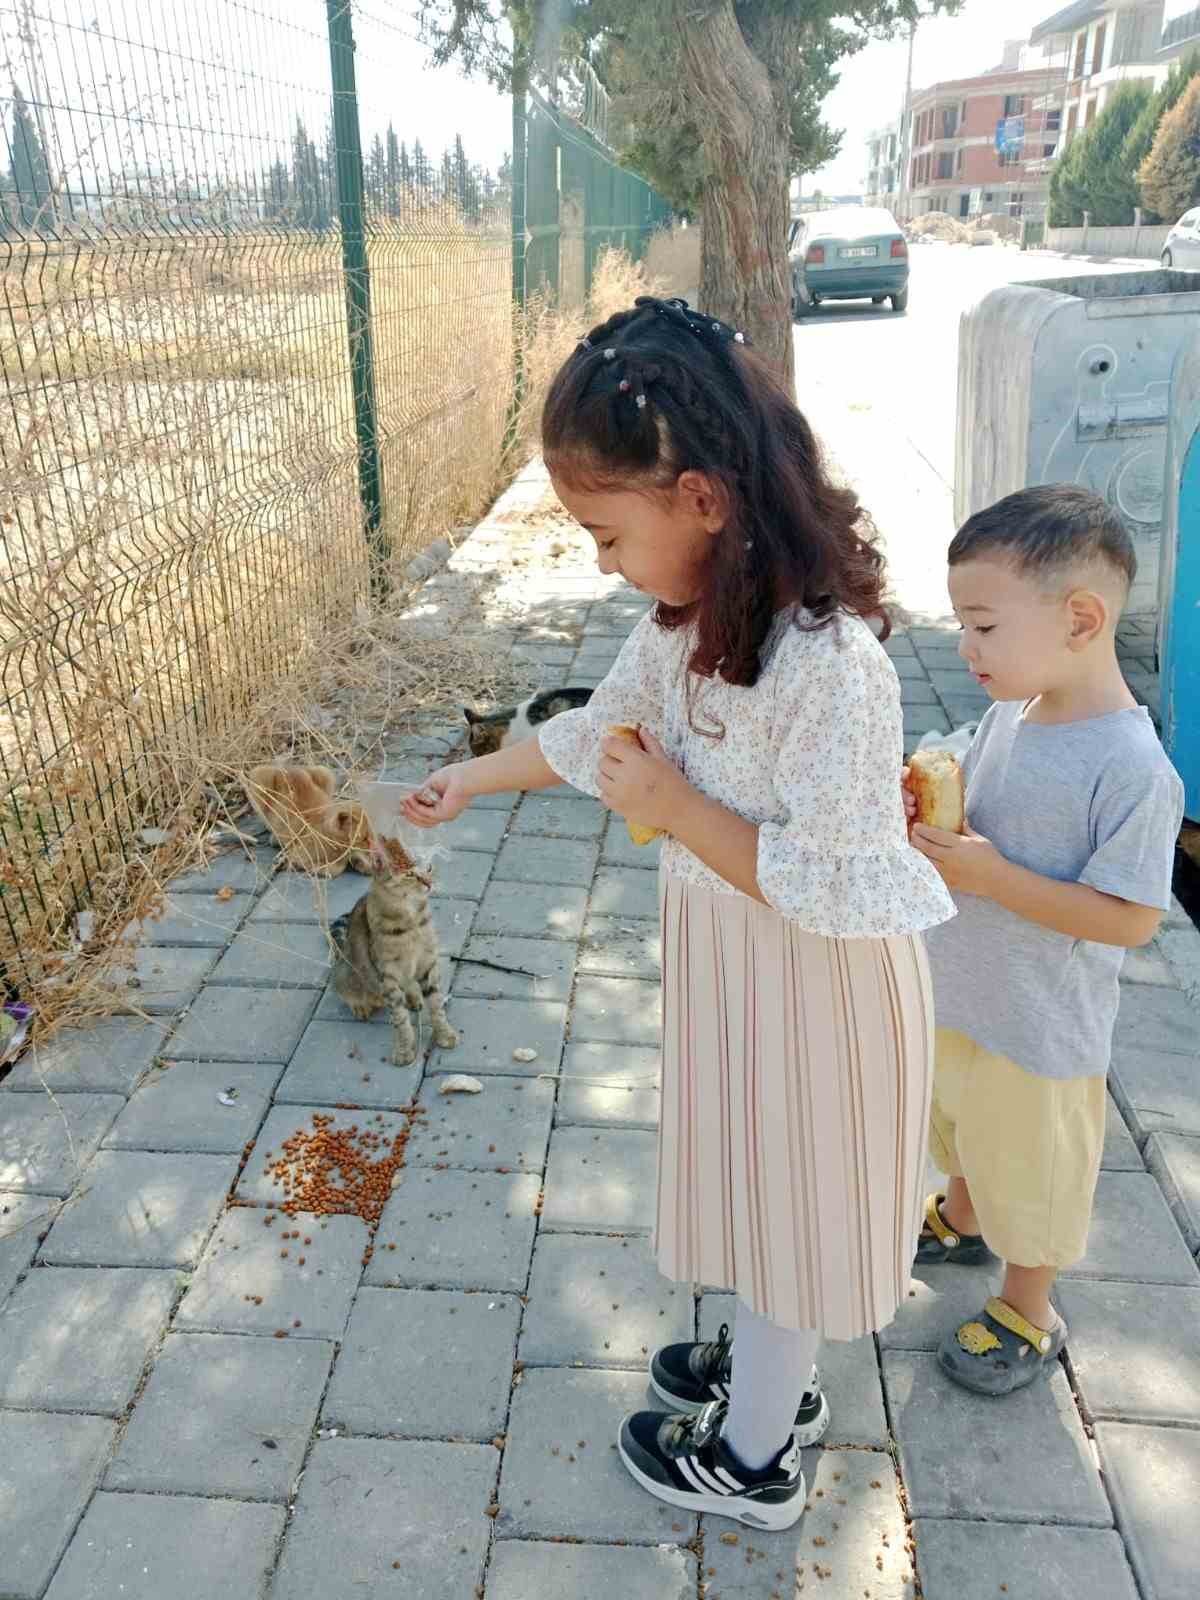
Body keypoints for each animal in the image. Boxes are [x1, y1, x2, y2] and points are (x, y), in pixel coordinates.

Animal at [329, 838, 460, 1062]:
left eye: (429, 867)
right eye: (409, 874)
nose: (429, 883)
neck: (412, 922)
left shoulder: (427, 963)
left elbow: (436, 1004)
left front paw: (444, 1034)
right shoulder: (387, 975)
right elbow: (400, 1018)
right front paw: (405, 1049)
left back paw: (414, 997)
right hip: (346, 974)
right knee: (344, 990)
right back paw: (361, 1005)